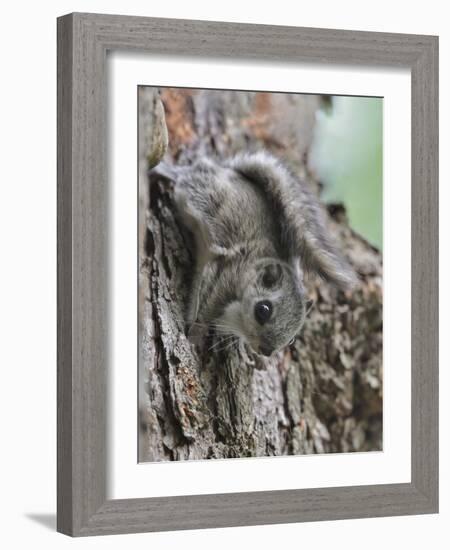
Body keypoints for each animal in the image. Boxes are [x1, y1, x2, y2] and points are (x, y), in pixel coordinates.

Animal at [153, 152, 356, 358]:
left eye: (292, 338)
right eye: (263, 310)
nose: (266, 351)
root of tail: (224, 169)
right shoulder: (224, 276)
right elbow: (204, 307)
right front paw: (194, 335)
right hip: (202, 194)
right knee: (184, 176)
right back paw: (165, 170)